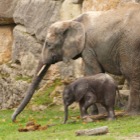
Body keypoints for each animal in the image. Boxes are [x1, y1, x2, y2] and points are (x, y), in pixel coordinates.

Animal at [11, 3, 140, 121]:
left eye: (49, 45)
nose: (14, 120)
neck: (71, 21)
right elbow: (90, 74)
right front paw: (93, 114)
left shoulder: (88, 47)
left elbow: (93, 72)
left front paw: (99, 114)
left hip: (129, 45)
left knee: (131, 74)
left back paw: (130, 114)